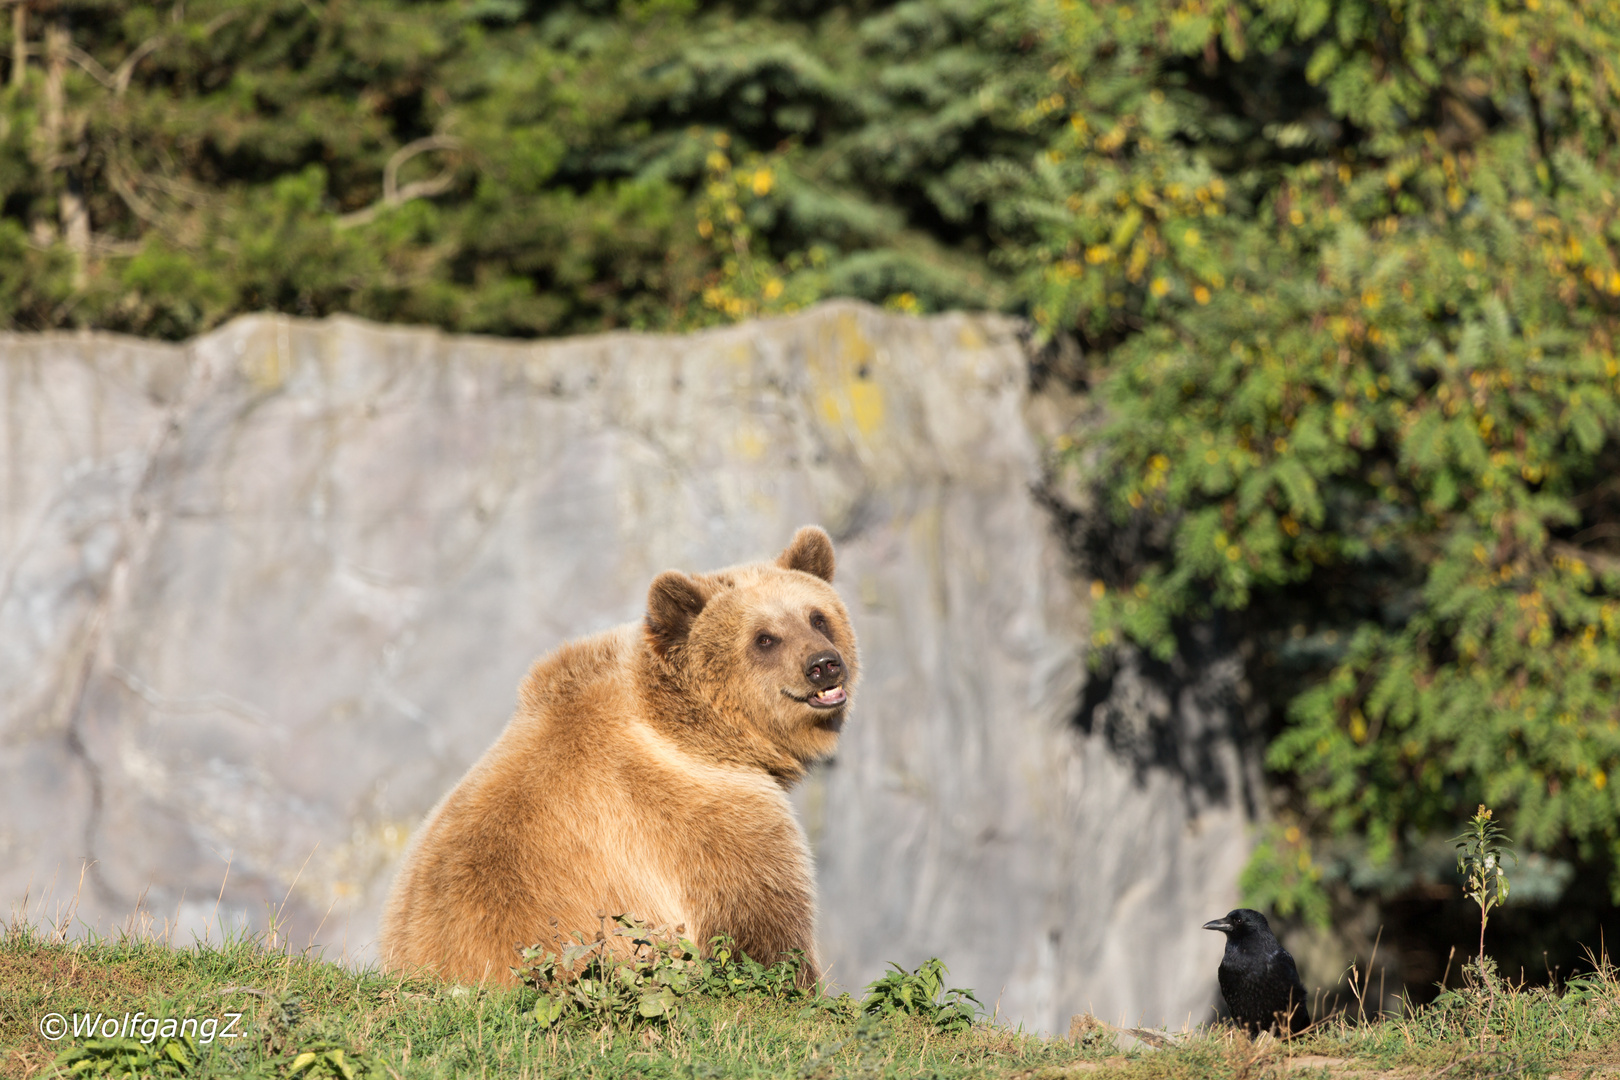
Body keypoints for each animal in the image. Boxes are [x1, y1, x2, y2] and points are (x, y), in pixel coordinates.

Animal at [380, 524, 861, 990]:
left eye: (817, 616)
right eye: (764, 638)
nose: (823, 664)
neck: (696, 728)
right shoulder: (700, 814)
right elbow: (759, 928)